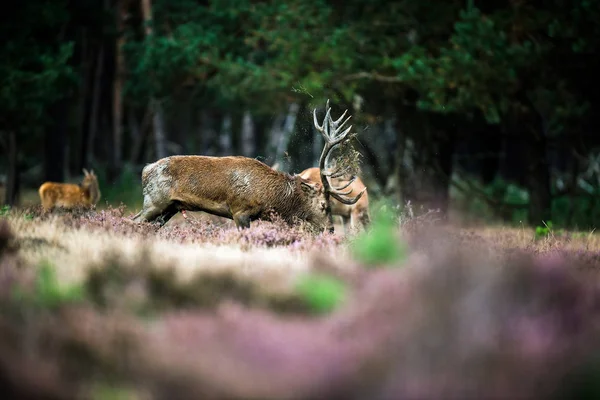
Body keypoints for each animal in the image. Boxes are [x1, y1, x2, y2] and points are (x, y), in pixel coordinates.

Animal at [131, 156, 328, 231]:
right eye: (324, 205)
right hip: (155, 201)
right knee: (134, 221)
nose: (331, 229)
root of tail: (146, 170)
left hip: (170, 208)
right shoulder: (240, 211)